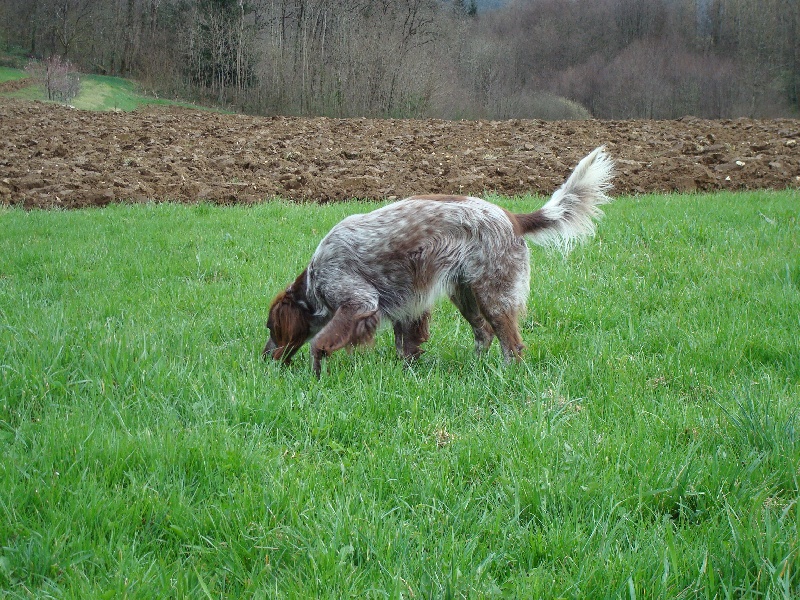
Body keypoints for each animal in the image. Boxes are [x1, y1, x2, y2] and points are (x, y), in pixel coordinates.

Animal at [263, 146, 614, 377]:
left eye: (271, 327)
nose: (265, 358)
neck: (314, 279)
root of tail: (512, 217)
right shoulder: (408, 306)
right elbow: (407, 345)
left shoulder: (359, 302)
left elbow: (319, 343)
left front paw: (316, 374)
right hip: (465, 294)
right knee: (484, 334)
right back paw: (475, 368)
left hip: (493, 295)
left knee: (511, 345)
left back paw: (505, 375)